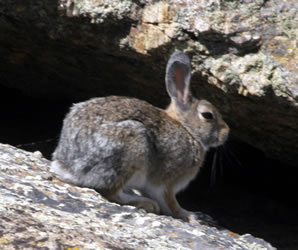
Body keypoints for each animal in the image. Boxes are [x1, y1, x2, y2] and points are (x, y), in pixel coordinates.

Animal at [50, 50, 230, 221]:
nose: (226, 133)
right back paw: (146, 204)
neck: (187, 129)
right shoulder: (166, 183)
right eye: (208, 115)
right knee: (112, 192)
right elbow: (171, 203)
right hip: (130, 148)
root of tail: (68, 166)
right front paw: (190, 216)